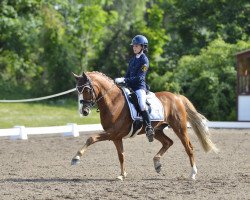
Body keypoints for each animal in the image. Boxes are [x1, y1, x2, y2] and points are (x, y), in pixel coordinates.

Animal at [71, 71, 218, 180]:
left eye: (87, 90)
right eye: (78, 90)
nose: (84, 111)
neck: (113, 102)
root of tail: (177, 97)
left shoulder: (112, 133)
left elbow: (91, 138)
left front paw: (76, 158)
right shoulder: (116, 137)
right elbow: (121, 155)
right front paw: (122, 175)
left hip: (179, 128)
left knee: (188, 147)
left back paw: (193, 174)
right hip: (157, 130)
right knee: (168, 142)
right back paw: (157, 163)